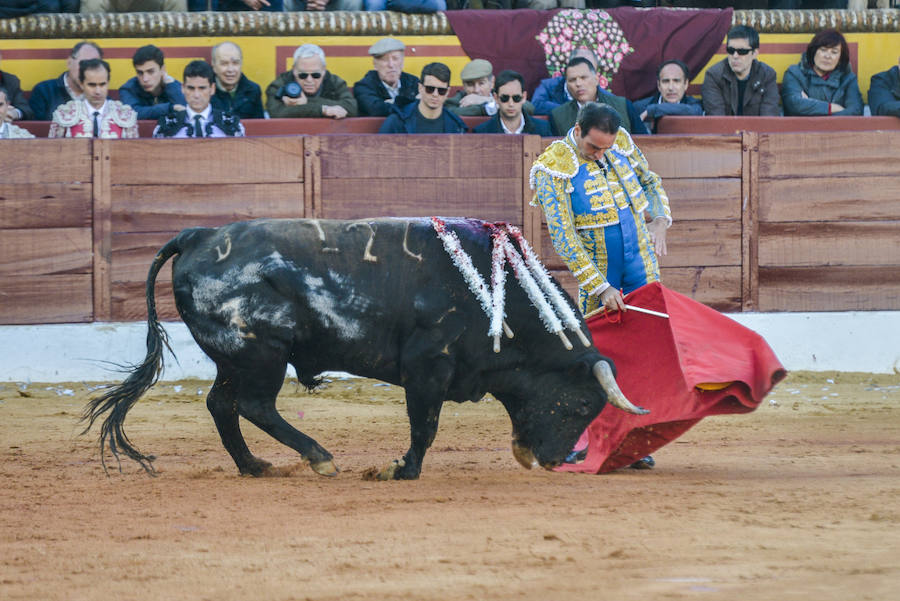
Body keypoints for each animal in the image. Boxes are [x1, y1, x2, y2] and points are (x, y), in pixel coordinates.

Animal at [82, 218, 648, 480]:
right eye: (581, 404)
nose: (559, 460)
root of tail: (199, 234)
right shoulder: (427, 368)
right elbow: (425, 425)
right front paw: (403, 470)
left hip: (234, 358)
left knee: (222, 404)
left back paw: (255, 466)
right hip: (262, 354)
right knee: (255, 405)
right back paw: (319, 458)